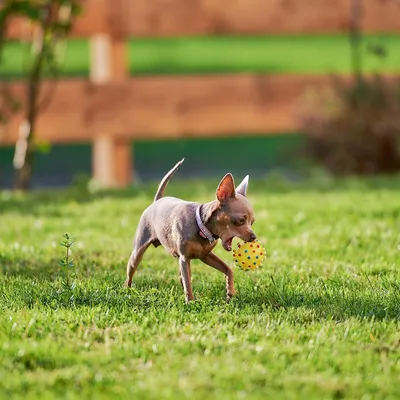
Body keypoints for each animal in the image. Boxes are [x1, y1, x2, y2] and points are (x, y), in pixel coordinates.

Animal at [125, 159, 256, 304]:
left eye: (252, 222)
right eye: (240, 221)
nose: (254, 237)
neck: (201, 227)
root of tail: (157, 200)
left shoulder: (206, 256)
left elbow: (228, 269)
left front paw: (230, 291)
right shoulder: (185, 258)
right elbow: (188, 283)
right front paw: (190, 302)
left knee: (181, 276)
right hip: (138, 252)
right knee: (131, 270)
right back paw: (127, 290)